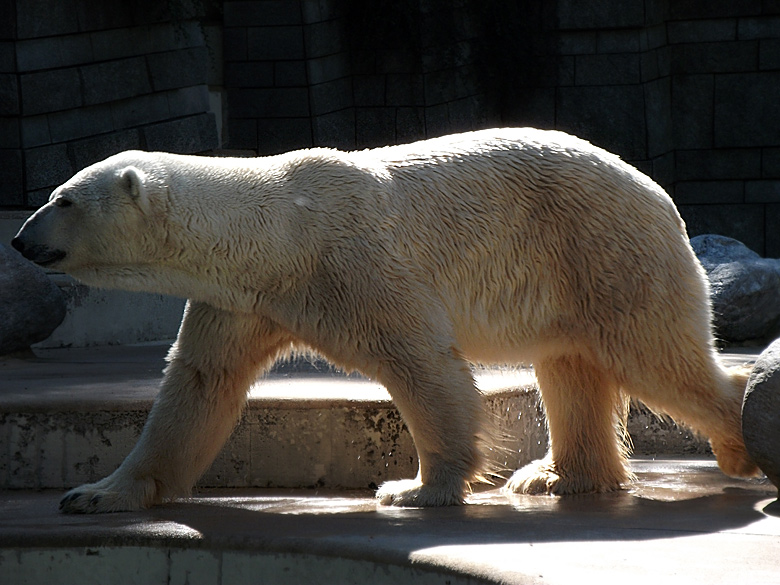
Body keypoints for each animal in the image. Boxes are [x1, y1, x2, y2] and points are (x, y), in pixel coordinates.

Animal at [9, 129, 760, 512]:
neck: (276, 235)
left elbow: (420, 361)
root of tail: (659, 195)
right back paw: (553, 477)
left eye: (63, 199)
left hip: (604, 248)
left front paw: (417, 487)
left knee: (657, 357)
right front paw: (98, 492)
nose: (18, 238)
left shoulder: (352, 263)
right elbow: (196, 385)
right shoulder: (240, 302)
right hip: (573, 272)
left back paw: (738, 444)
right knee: (570, 367)